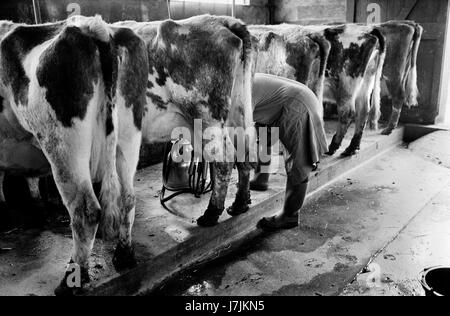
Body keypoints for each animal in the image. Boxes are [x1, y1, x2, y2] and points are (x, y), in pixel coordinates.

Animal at [0, 16, 148, 296]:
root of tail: (93, 26)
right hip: (128, 135)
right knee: (127, 198)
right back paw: (124, 256)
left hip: (62, 146)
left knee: (85, 211)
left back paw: (71, 280)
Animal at [115, 14, 256, 227]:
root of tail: (221, 21)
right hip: (238, 109)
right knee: (244, 150)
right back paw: (239, 204)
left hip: (206, 115)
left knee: (224, 158)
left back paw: (211, 214)